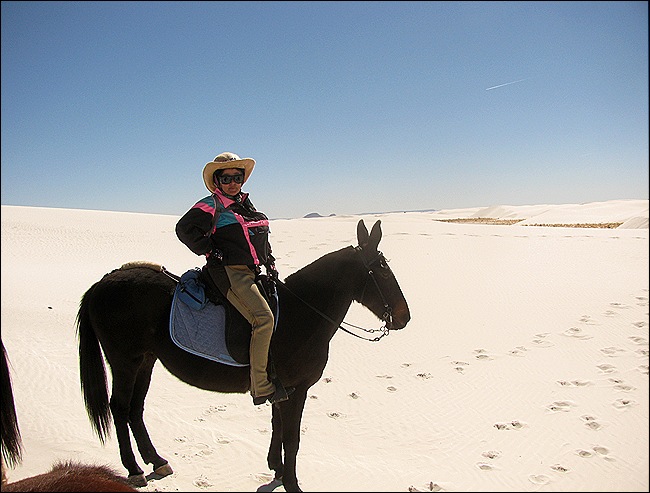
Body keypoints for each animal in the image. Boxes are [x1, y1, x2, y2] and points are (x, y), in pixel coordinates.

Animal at [76, 219, 411, 491]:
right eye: (382, 270)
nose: (404, 317)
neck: (302, 312)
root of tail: (100, 284)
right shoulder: (298, 389)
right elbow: (292, 438)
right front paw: (292, 482)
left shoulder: (282, 390)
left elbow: (278, 427)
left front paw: (277, 469)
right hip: (125, 361)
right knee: (120, 408)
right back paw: (133, 468)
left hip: (146, 360)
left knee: (135, 408)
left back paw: (156, 460)